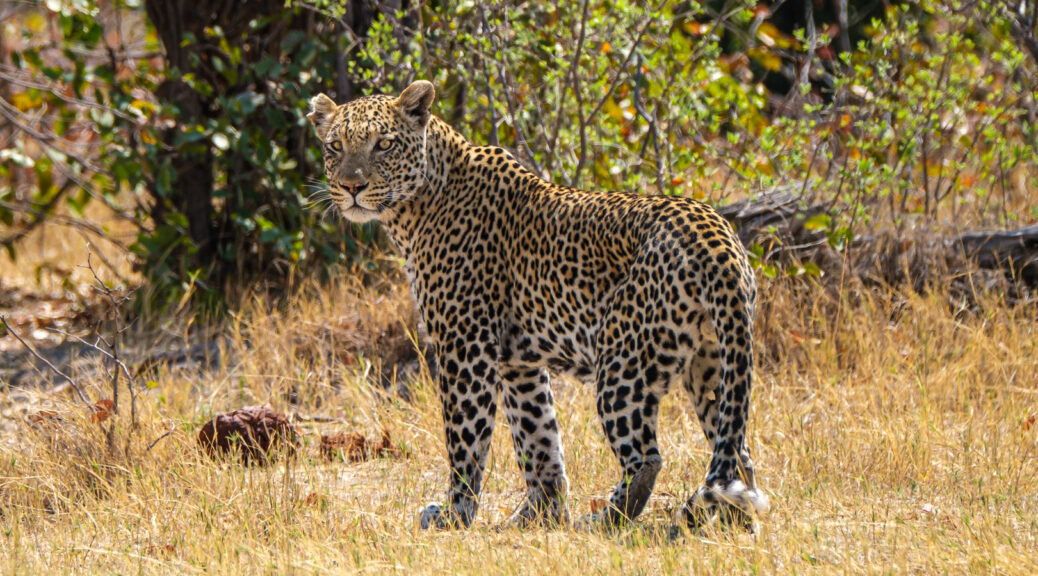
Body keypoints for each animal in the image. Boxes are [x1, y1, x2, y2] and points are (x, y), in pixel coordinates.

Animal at [303, 79, 768, 531]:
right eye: (335, 146)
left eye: (383, 144)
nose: (352, 187)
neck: (414, 210)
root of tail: (716, 235)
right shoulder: (518, 360)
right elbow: (537, 435)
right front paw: (539, 512)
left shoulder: (465, 345)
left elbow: (465, 438)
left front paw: (456, 513)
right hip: (713, 364)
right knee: (737, 452)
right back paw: (732, 523)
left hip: (625, 360)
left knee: (646, 458)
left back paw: (606, 519)